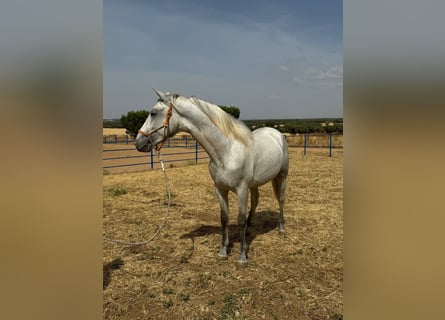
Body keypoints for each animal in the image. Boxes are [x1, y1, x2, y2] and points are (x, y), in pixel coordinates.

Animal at [134, 89, 288, 262]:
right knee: (255, 201)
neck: (227, 151)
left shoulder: (241, 189)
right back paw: (250, 228)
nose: (138, 142)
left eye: (153, 113)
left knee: (280, 199)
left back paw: (281, 228)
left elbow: (240, 220)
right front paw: (223, 251)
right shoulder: (220, 189)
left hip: (282, 176)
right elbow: (224, 219)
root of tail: (276, 133)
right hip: (254, 185)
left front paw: (242, 256)